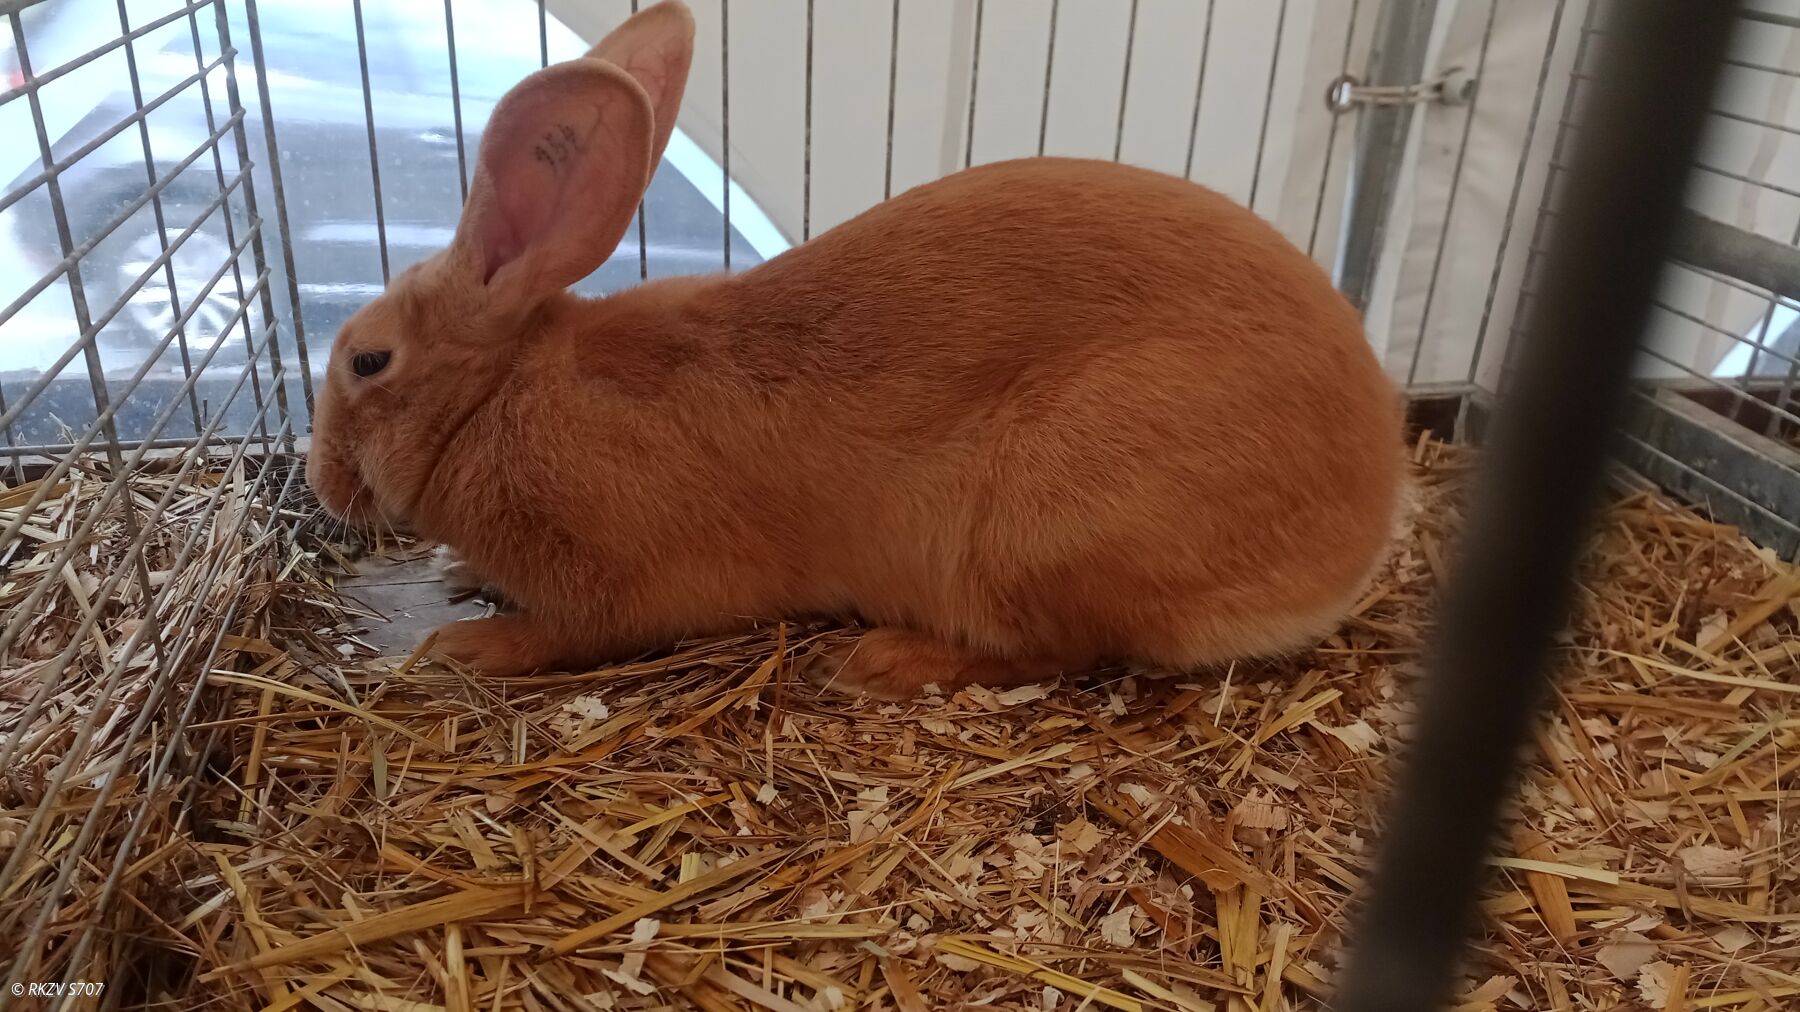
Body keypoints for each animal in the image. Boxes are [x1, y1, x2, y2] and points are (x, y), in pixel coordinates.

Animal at [304, 0, 1407, 700]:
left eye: (366, 363)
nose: (321, 484)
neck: (500, 397)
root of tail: (1351, 538)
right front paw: (460, 581)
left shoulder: (620, 580)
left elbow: (570, 631)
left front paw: (467, 642)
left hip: (1052, 520)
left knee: (1060, 650)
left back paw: (886, 663)